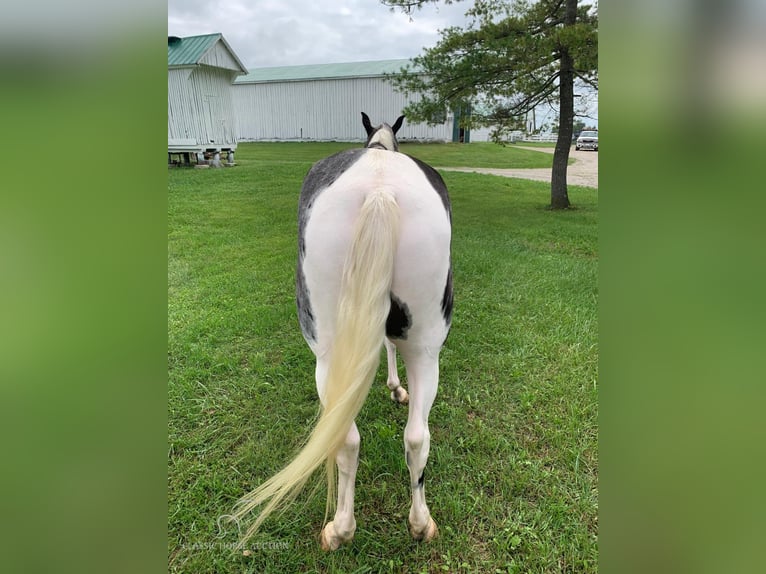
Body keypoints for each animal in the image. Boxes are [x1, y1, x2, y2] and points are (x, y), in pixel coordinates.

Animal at [232, 111, 450, 552]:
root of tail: (380, 192)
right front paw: (396, 388)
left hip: (327, 357)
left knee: (346, 440)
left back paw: (340, 528)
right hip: (426, 348)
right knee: (417, 437)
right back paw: (421, 524)